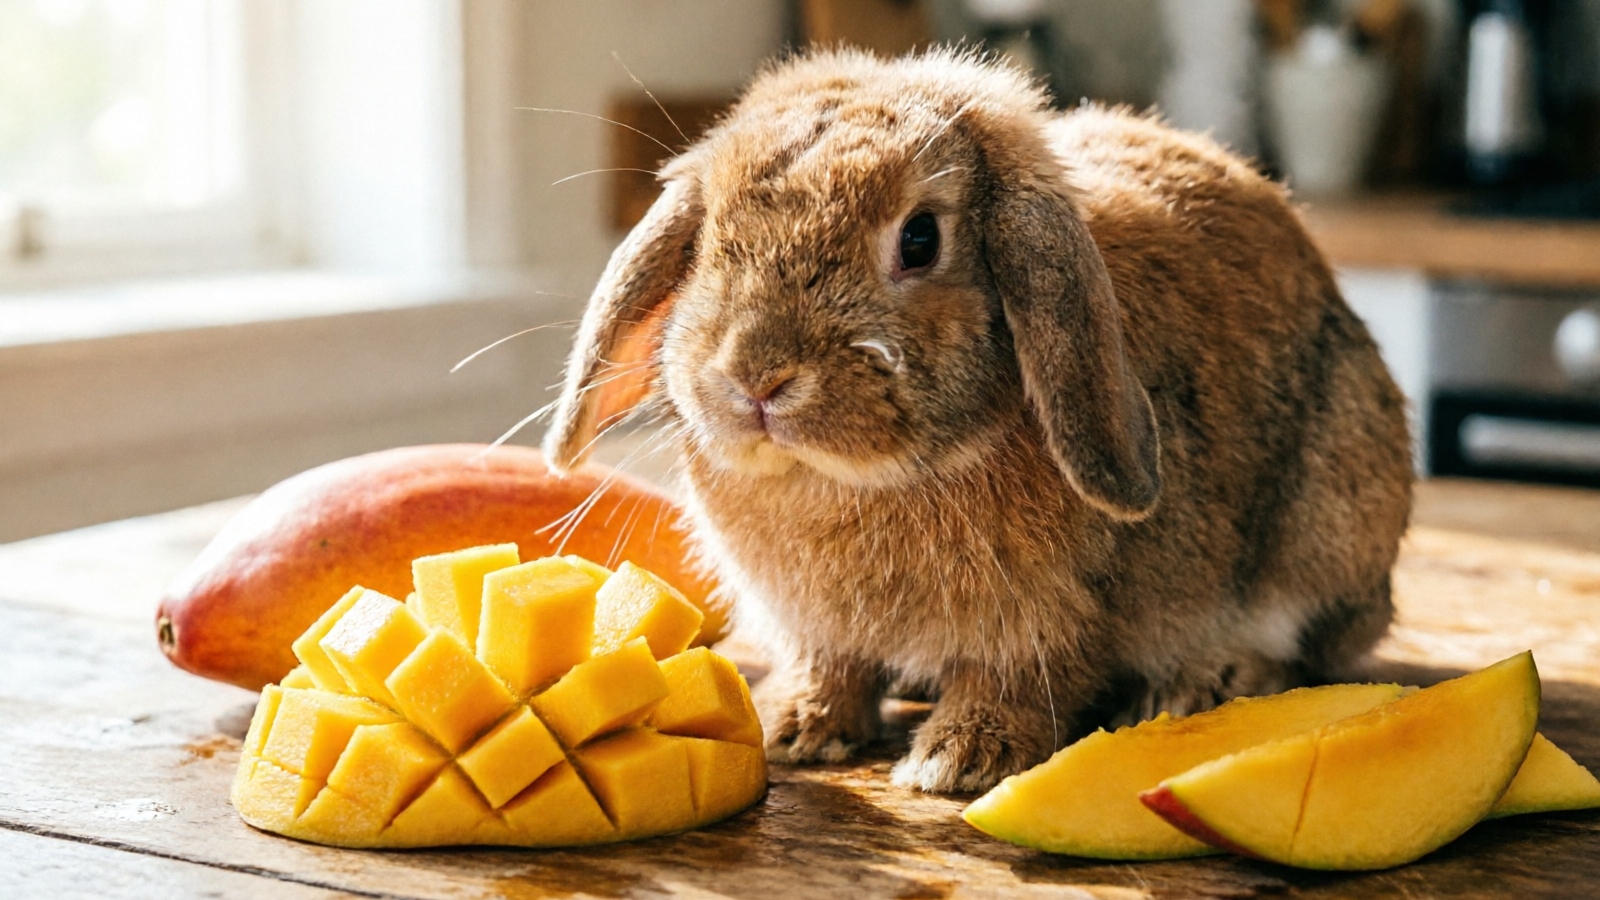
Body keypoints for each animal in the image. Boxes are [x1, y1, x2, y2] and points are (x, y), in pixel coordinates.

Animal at [541, 48, 1413, 793]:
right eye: (710, 235)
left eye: (920, 239)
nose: (756, 376)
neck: (854, 482)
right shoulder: (818, 627)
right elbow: (831, 666)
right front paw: (794, 726)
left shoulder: (1052, 621)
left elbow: (1021, 681)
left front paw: (959, 760)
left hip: (1330, 518)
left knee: (1307, 642)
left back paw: (1206, 683)